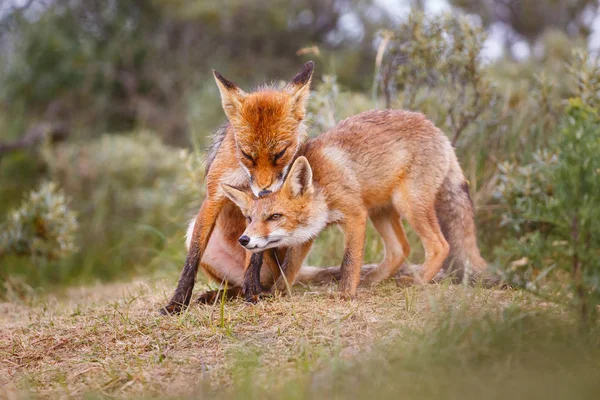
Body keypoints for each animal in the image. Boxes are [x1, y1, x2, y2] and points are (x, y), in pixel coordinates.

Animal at [220, 108, 488, 296]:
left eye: (275, 216)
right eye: (250, 219)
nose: (244, 239)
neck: (322, 183)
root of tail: (439, 131)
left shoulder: (355, 215)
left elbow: (349, 261)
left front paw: (345, 294)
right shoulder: (309, 234)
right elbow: (289, 269)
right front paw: (276, 293)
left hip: (407, 204)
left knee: (440, 245)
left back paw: (418, 280)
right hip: (381, 211)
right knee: (400, 249)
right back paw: (373, 280)